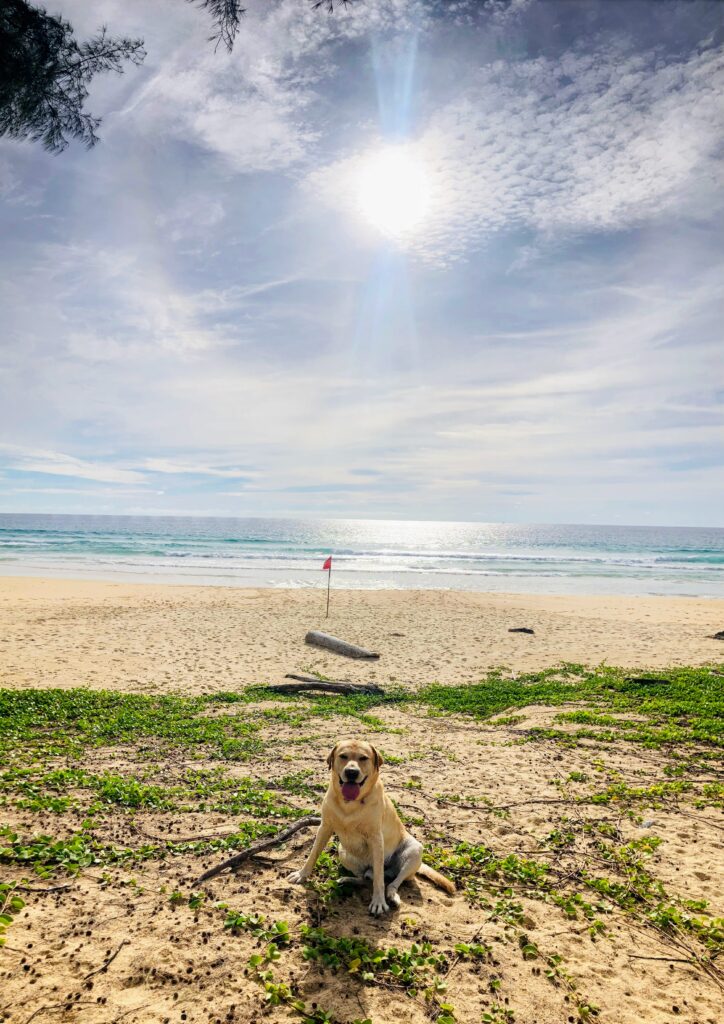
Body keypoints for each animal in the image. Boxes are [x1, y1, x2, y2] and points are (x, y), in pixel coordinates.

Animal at [286, 737, 452, 913]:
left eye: (363, 758)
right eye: (343, 756)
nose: (351, 772)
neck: (350, 803)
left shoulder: (376, 838)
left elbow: (379, 879)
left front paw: (378, 901)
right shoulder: (325, 827)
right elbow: (313, 854)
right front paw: (302, 874)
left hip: (414, 850)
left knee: (391, 881)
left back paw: (391, 895)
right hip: (343, 852)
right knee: (365, 878)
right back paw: (347, 880)